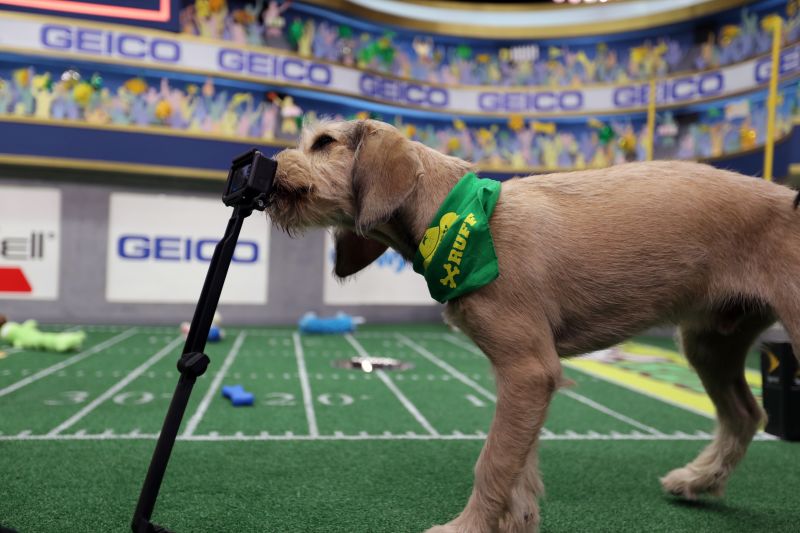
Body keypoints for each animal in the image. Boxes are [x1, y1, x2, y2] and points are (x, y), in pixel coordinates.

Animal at [270, 118, 800, 528]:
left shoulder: (528, 370)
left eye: (324, 142)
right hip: (709, 342)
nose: (265, 166)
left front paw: (467, 528)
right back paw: (698, 479)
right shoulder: (523, 380)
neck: (457, 216)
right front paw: (514, 521)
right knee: (744, 414)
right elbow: (518, 468)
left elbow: (494, 461)